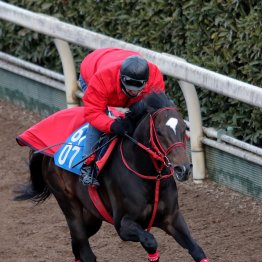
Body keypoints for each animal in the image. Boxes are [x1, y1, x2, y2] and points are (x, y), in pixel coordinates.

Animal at [14, 92, 209, 262]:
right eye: (159, 132)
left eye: (184, 129)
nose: (183, 168)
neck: (148, 176)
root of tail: (47, 153)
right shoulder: (123, 225)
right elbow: (150, 241)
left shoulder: (171, 218)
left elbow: (197, 250)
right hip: (68, 204)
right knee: (85, 250)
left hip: (92, 216)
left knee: (75, 244)